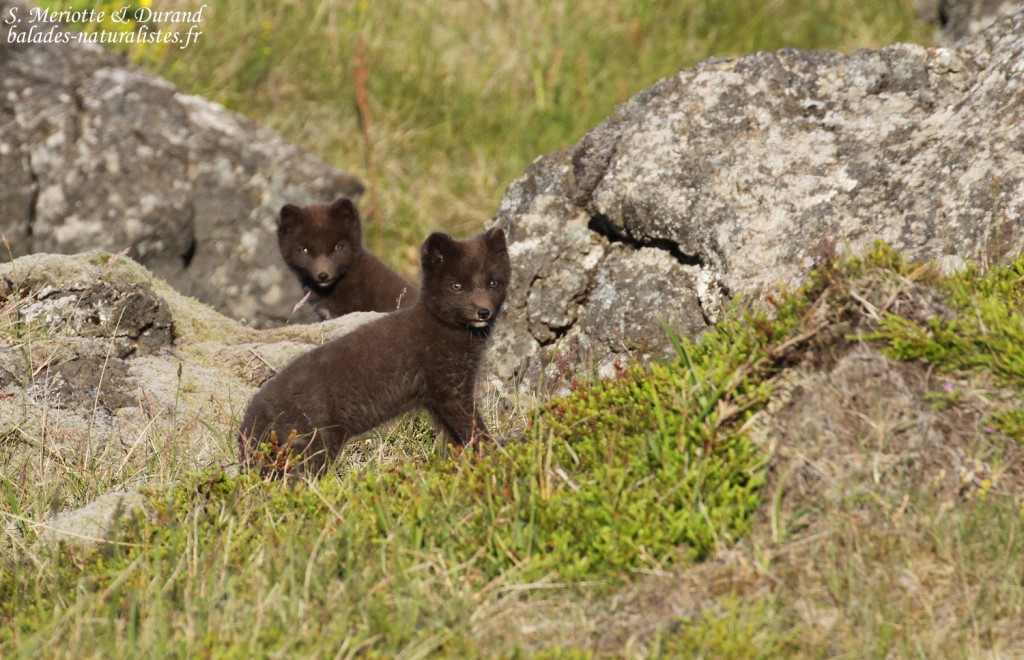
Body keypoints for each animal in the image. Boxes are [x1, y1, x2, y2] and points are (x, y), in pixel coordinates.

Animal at [240, 226, 511, 477]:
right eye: (457, 286)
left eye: (493, 283)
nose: (483, 312)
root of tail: (254, 413)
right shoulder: (449, 387)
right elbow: (472, 427)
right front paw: (495, 453)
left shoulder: (436, 397)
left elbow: (453, 436)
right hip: (317, 442)